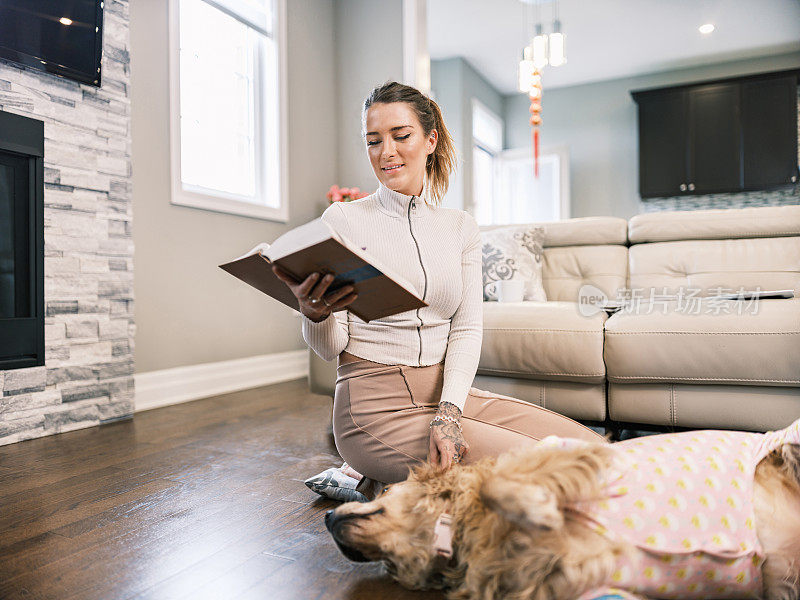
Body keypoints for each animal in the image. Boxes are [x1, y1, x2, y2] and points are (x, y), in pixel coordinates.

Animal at [324, 422, 800, 600]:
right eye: (389, 567)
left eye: (386, 493)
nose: (328, 518)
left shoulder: (575, 450)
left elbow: (497, 484)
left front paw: (536, 508)